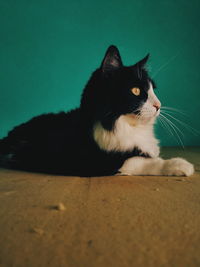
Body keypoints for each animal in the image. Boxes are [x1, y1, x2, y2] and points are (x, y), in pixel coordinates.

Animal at [0, 45, 194, 178]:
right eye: (136, 90)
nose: (159, 105)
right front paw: (180, 165)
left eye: (153, 89)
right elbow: (141, 162)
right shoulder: (94, 162)